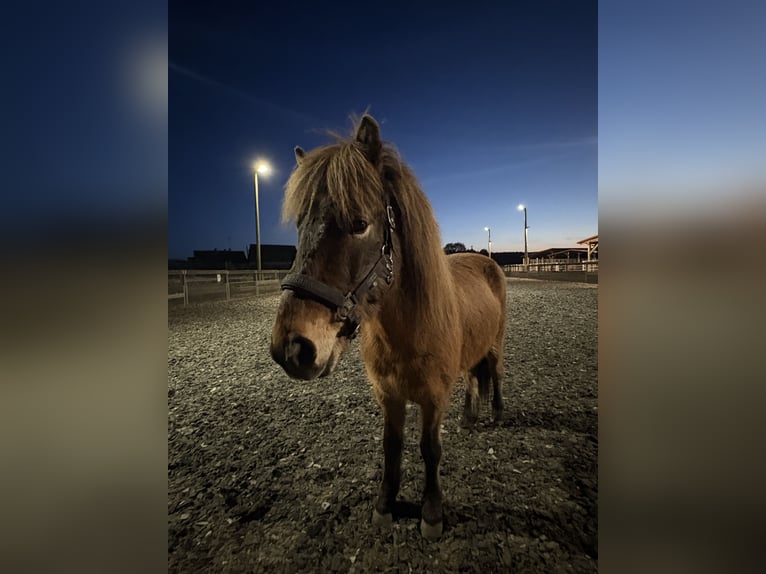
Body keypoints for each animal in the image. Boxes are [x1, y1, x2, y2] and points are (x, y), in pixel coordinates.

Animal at [270, 115, 507, 540]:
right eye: (300, 226)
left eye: (359, 223)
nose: (292, 348)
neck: (406, 333)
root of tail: (486, 261)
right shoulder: (389, 396)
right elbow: (390, 447)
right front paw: (385, 506)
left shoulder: (433, 399)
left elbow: (430, 450)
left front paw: (432, 512)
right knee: (473, 377)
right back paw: (469, 418)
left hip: (496, 344)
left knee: (494, 372)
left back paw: (495, 413)